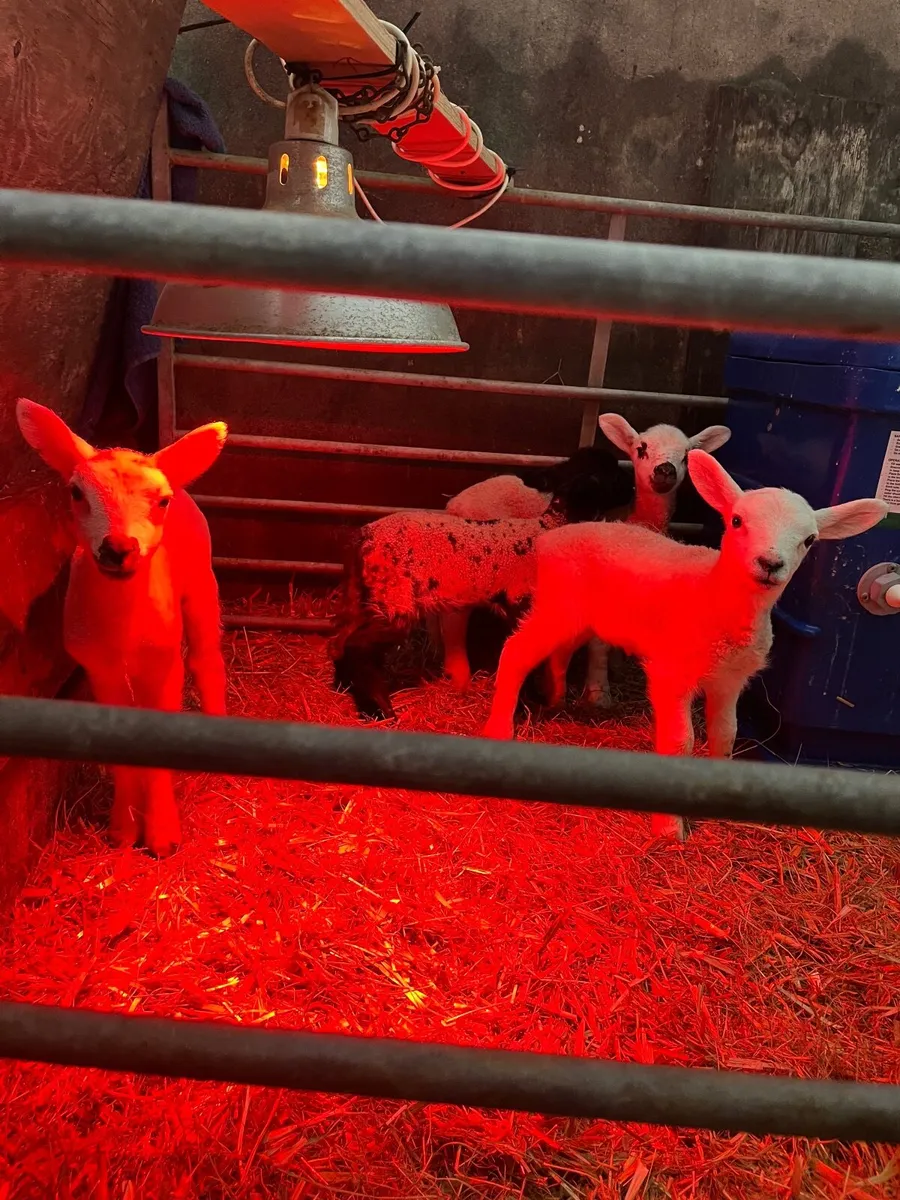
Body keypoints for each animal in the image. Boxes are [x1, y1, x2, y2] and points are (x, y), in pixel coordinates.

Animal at [16, 399, 228, 858]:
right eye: (77, 493)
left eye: (160, 501)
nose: (118, 548)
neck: (123, 629)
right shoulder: (100, 670)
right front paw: (124, 830)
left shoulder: (165, 662)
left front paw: (162, 836)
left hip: (201, 582)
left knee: (207, 660)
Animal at [331, 454, 633, 721]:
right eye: (613, 474)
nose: (632, 486)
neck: (547, 526)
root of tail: (363, 537)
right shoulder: (523, 606)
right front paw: (525, 706)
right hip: (394, 599)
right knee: (358, 646)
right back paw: (379, 711)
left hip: (366, 596)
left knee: (342, 638)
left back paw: (347, 687)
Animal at [481, 450, 886, 840]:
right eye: (736, 520)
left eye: (810, 540)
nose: (771, 562)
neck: (713, 596)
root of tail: (553, 537)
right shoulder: (671, 672)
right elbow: (680, 743)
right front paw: (669, 828)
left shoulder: (730, 680)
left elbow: (726, 735)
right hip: (560, 604)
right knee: (516, 651)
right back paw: (500, 728)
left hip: (578, 614)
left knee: (560, 651)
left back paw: (557, 697)